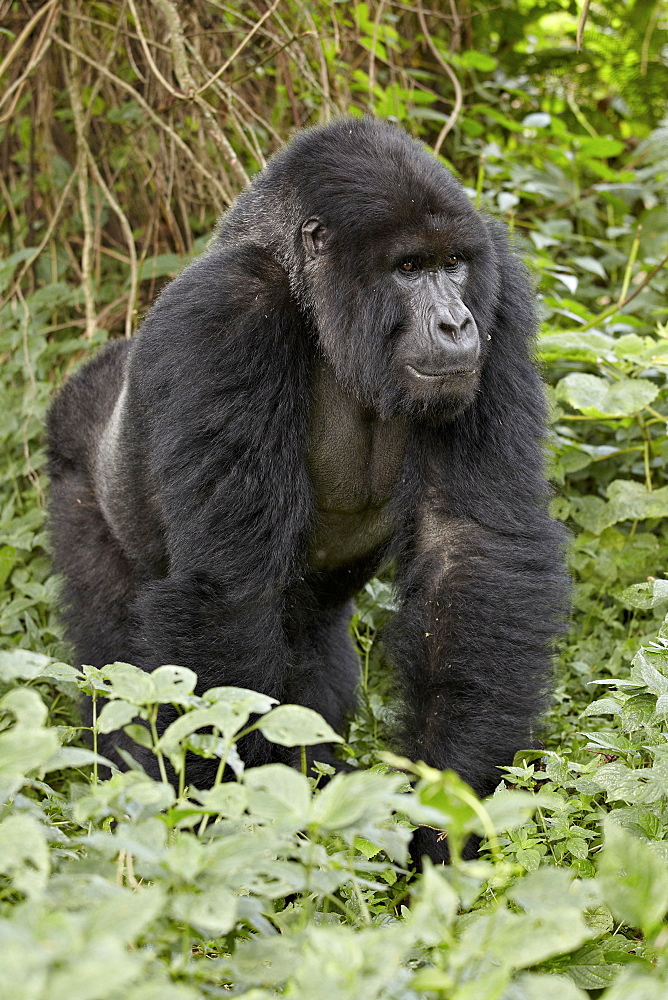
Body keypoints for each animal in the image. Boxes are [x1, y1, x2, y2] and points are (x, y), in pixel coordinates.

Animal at [48, 117, 568, 864]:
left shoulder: (501, 295)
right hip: (74, 468)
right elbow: (230, 592)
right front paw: (231, 830)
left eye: (454, 264)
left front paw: (448, 815)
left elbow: (472, 550)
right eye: (408, 268)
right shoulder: (225, 318)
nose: (456, 324)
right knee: (114, 660)